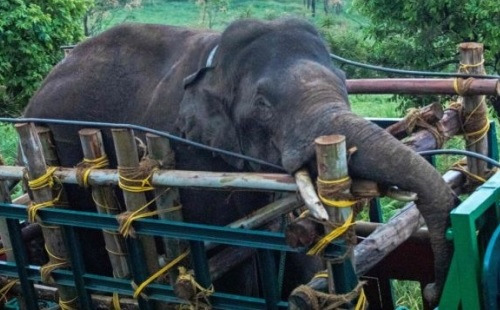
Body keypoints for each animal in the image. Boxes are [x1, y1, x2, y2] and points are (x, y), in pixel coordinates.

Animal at [22, 17, 454, 306]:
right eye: (263, 105)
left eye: (345, 83)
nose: (434, 290)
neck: (215, 63)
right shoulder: (189, 154)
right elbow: (229, 262)